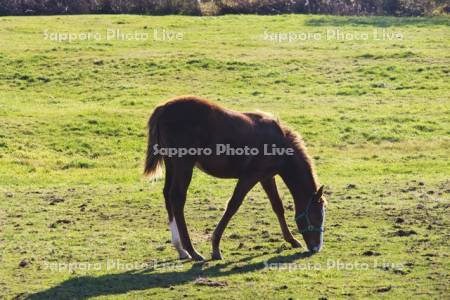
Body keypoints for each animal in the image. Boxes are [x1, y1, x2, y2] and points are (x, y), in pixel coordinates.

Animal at [146, 96, 326, 260]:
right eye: (317, 214)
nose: (316, 248)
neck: (279, 142)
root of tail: (164, 108)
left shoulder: (266, 177)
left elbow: (277, 206)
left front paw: (292, 240)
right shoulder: (250, 176)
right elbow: (233, 205)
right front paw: (215, 247)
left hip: (171, 164)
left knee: (167, 195)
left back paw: (181, 249)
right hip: (183, 165)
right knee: (177, 198)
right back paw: (192, 251)